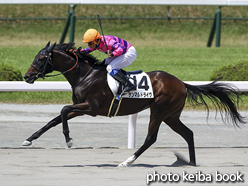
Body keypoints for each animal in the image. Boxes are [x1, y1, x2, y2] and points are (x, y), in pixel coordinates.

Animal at [22, 41, 244, 166]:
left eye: (41, 57)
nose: (26, 76)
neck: (85, 76)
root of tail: (182, 83)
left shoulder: (91, 108)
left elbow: (63, 110)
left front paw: (69, 139)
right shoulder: (81, 108)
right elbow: (54, 119)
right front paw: (29, 140)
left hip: (159, 110)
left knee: (151, 138)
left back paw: (127, 161)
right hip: (171, 115)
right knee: (188, 133)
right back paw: (191, 163)